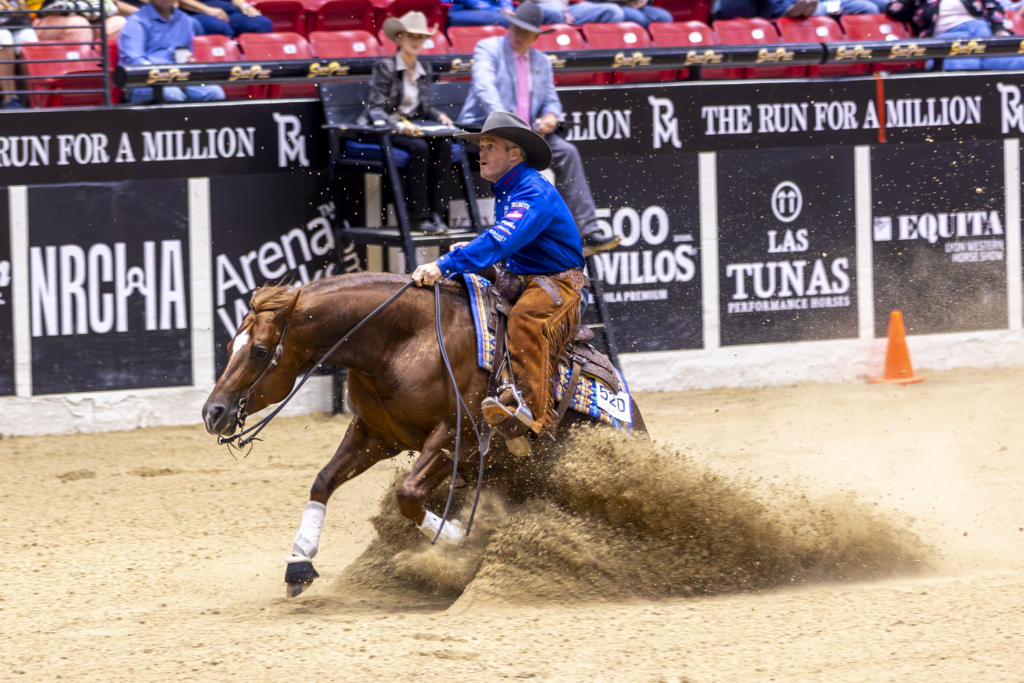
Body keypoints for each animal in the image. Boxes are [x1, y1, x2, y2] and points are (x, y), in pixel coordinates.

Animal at [201, 272, 647, 597]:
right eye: (230, 343)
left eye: (260, 351)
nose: (213, 412)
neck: (404, 341)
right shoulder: (373, 434)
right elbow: (323, 482)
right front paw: (299, 563)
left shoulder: (457, 439)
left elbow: (408, 495)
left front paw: (456, 538)